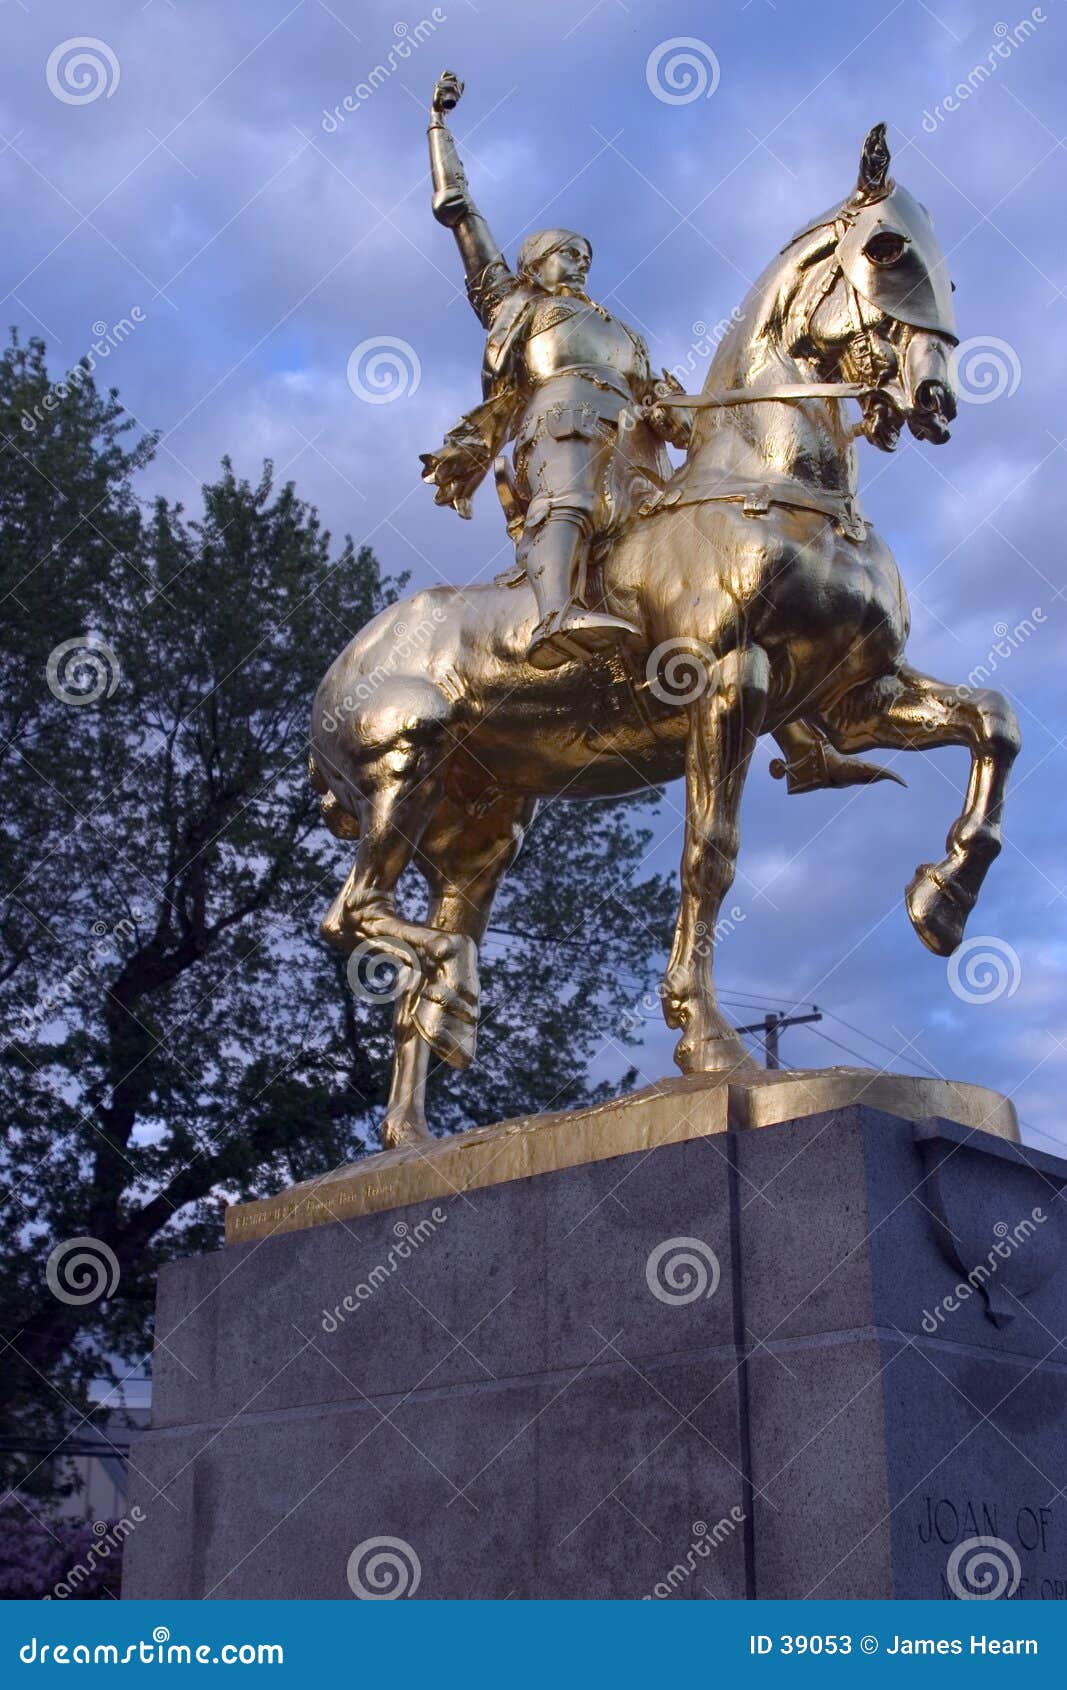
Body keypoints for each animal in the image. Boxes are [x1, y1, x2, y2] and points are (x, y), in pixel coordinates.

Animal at [306, 125, 1021, 1142]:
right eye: (887, 251)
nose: (933, 398)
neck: (777, 484)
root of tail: (338, 670)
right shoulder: (728, 681)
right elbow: (709, 856)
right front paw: (708, 1043)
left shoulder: (855, 698)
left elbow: (994, 722)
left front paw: (943, 902)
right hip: (403, 764)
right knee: (352, 916)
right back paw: (453, 986)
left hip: (479, 832)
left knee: (407, 962)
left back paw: (412, 1132)